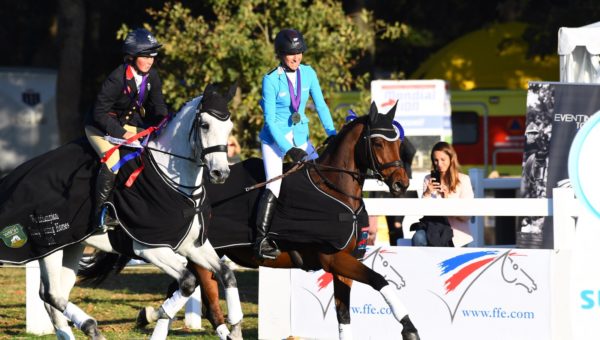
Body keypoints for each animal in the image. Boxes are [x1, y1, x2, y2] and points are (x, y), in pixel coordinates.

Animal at [1, 83, 244, 340]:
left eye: (229, 127)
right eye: (205, 124)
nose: (220, 173)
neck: (177, 186)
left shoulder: (192, 245)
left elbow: (226, 274)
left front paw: (236, 327)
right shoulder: (150, 248)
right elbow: (187, 283)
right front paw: (154, 314)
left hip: (71, 246)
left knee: (53, 298)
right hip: (49, 245)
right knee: (51, 295)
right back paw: (92, 327)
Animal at [84, 102, 422, 338]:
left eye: (397, 142)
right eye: (378, 143)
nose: (401, 184)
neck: (333, 189)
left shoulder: (343, 266)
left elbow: (344, 318)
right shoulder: (334, 259)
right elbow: (380, 280)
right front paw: (409, 328)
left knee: (184, 294)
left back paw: (150, 316)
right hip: (199, 257)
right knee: (209, 306)